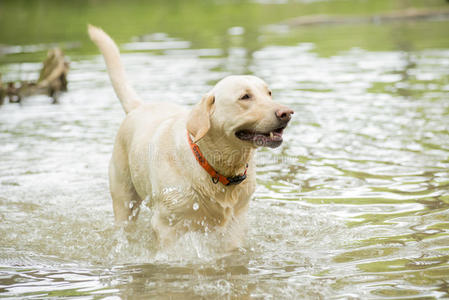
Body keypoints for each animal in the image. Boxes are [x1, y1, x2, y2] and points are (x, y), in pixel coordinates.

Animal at [88, 24, 292, 248]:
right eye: (245, 97)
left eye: (269, 93)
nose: (287, 113)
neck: (217, 167)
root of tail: (139, 106)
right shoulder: (167, 224)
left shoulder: (236, 221)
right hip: (124, 197)